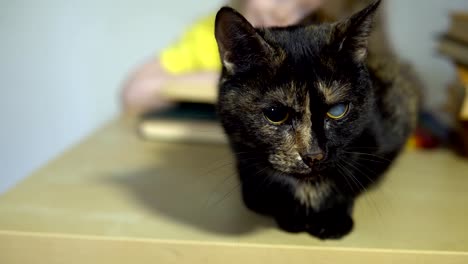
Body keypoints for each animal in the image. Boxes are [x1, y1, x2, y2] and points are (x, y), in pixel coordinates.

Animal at [216, 0, 420, 239]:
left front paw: (332, 217)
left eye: (338, 110)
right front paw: (292, 215)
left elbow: (349, 178)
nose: (314, 155)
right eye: (275, 114)